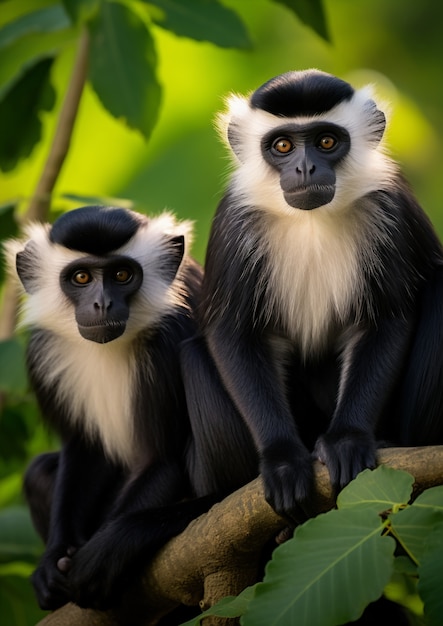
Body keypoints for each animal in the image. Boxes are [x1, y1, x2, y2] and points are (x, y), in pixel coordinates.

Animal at [3, 205, 212, 608]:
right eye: (81, 277)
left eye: (121, 275)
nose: (102, 303)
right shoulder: (43, 351)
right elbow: (84, 450)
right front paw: (53, 562)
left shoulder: (171, 337)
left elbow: (161, 460)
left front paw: (101, 553)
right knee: (39, 473)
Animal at [183, 68, 443, 520]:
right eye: (283, 145)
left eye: (326, 141)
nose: (306, 167)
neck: (312, 220)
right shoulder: (235, 221)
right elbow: (234, 334)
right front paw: (283, 462)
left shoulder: (387, 208)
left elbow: (386, 320)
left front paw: (348, 441)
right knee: (196, 353)